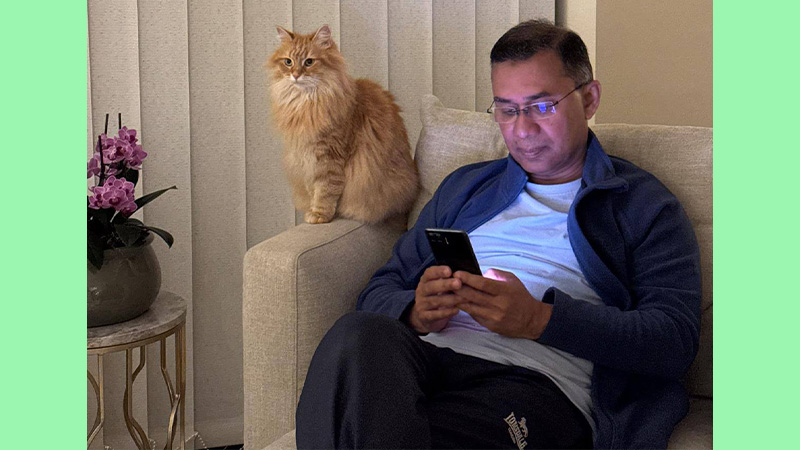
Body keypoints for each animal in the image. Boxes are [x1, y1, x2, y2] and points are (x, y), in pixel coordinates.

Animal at [267, 24, 420, 224]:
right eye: (288, 62)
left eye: (309, 62)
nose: (295, 75)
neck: (306, 103)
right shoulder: (306, 158)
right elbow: (313, 189)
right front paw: (312, 209)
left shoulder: (330, 155)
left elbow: (326, 190)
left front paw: (320, 215)